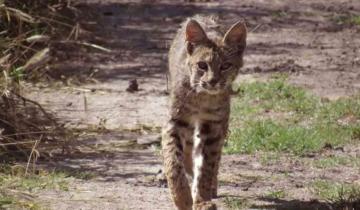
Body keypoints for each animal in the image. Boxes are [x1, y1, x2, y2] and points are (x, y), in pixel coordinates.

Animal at [162, 15, 246, 210]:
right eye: (202, 65)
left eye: (225, 66)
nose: (213, 81)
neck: (202, 96)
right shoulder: (175, 121)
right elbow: (173, 160)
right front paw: (182, 197)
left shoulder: (213, 126)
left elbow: (207, 166)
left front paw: (201, 200)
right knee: (187, 150)